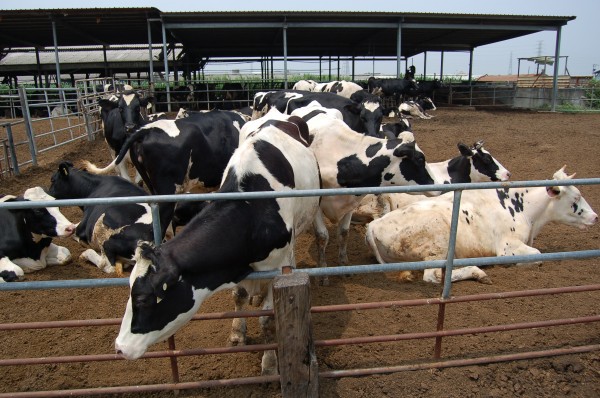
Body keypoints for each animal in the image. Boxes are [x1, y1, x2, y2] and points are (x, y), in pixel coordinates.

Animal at [116, 115, 324, 376]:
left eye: (143, 299)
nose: (119, 348)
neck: (252, 210)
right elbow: (239, 295)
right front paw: (237, 332)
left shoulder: (278, 266)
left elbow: (267, 319)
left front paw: (269, 364)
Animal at [364, 166, 596, 284]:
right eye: (576, 198)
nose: (595, 217)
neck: (523, 208)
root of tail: (374, 226)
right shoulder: (508, 247)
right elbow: (537, 256)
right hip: (435, 247)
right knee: (433, 276)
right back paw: (478, 271)